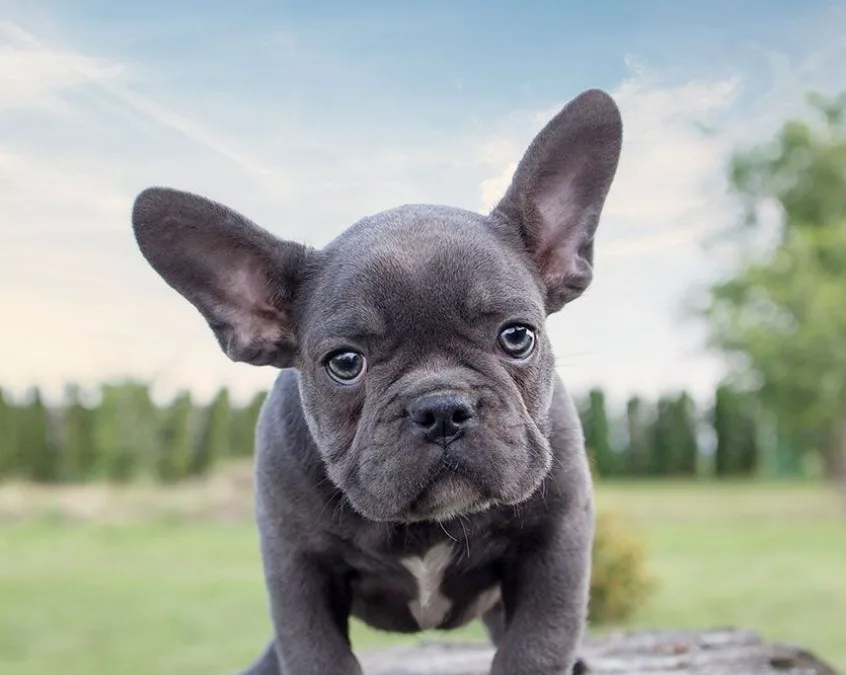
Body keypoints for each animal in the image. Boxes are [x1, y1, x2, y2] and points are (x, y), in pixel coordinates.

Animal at [131, 87, 624, 672]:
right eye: (346, 363)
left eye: (517, 336)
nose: (442, 408)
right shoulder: (298, 569)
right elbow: (318, 656)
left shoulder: (555, 541)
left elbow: (535, 645)